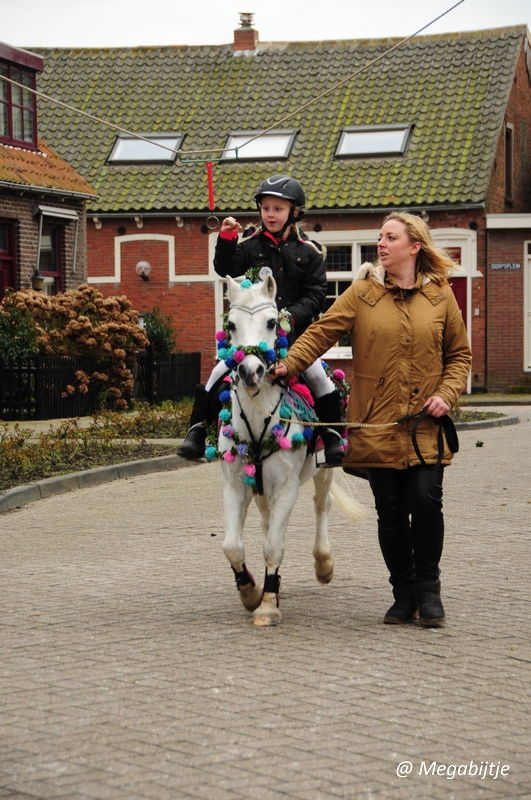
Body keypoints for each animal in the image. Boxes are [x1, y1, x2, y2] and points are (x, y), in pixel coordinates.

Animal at [210, 276, 368, 624]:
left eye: (272, 322)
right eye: (230, 325)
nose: (250, 371)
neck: (258, 419)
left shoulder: (286, 487)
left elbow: (273, 547)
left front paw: (268, 604)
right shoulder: (235, 486)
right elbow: (233, 546)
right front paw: (251, 592)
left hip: (323, 473)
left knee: (322, 505)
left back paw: (323, 564)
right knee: (268, 523)